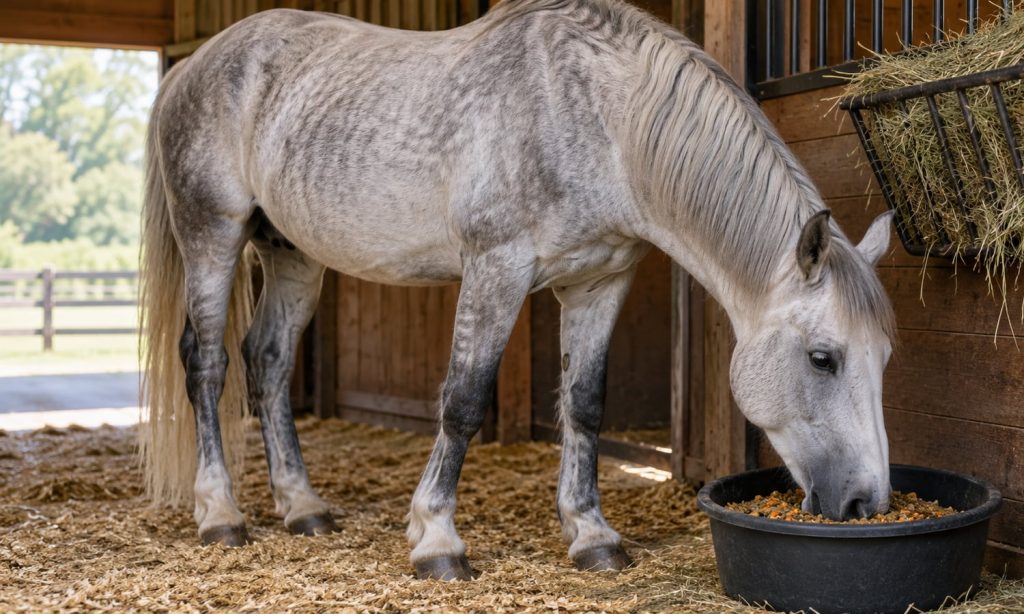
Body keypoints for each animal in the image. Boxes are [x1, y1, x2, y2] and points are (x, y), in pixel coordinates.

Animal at [139, 0, 896, 581]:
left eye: (884, 357)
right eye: (823, 358)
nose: (868, 505)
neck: (600, 120)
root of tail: (194, 66)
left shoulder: (599, 282)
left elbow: (584, 405)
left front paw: (592, 536)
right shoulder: (495, 269)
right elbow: (463, 401)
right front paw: (437, 541)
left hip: (291, 254)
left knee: (267, 362)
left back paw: (303, 508)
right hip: (213, 234)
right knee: (209, 365)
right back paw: (221, 515)